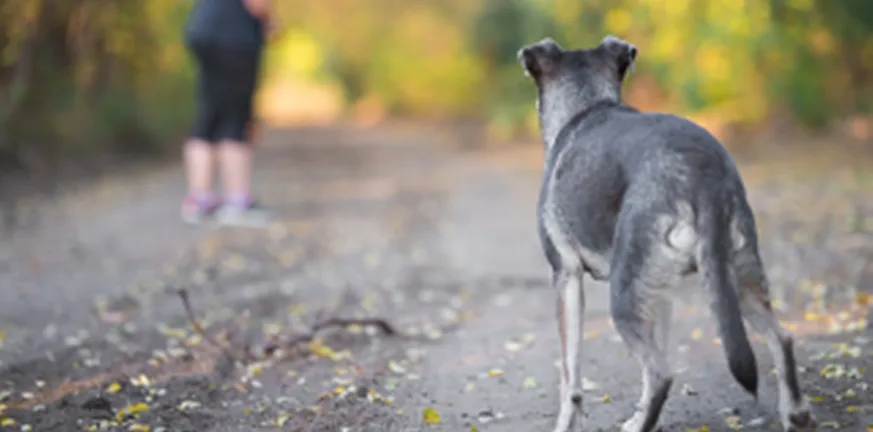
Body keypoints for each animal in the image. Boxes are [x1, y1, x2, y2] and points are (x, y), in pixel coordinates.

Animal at [516, 36, 816, 432]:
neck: (588, 104)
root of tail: (701, 171)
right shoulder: (660, 292)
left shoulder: (566, 276)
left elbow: (571, 379)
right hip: (736, 276)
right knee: (782, 338)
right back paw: (796, 413)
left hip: (625, 297)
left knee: (661, 373)